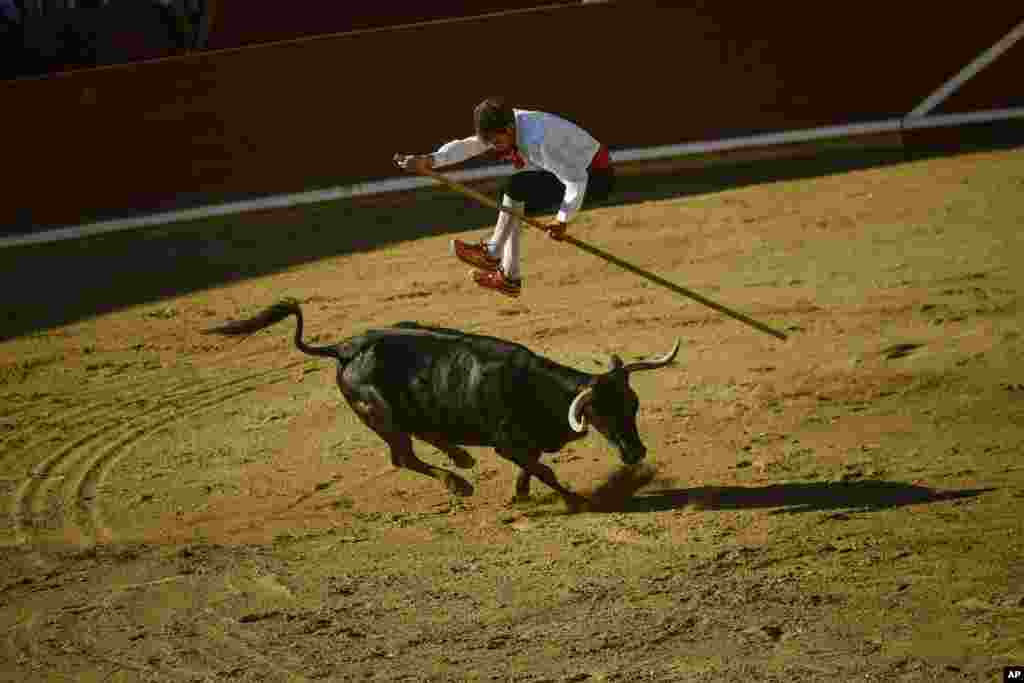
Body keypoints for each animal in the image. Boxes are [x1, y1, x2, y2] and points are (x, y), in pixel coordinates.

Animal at [202, 301, 675, 511]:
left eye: (633, 405)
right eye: (599, 413)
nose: (635, 453)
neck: (531, 386)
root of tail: (345, 349)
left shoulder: (522, 443)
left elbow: (532, 465)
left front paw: (520, 493)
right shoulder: (506, 442)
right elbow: (544, 469)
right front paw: (577, 498)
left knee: (424, 434)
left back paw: (461, 457)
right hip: (381, 417)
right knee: (403, 456)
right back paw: (457, 482)